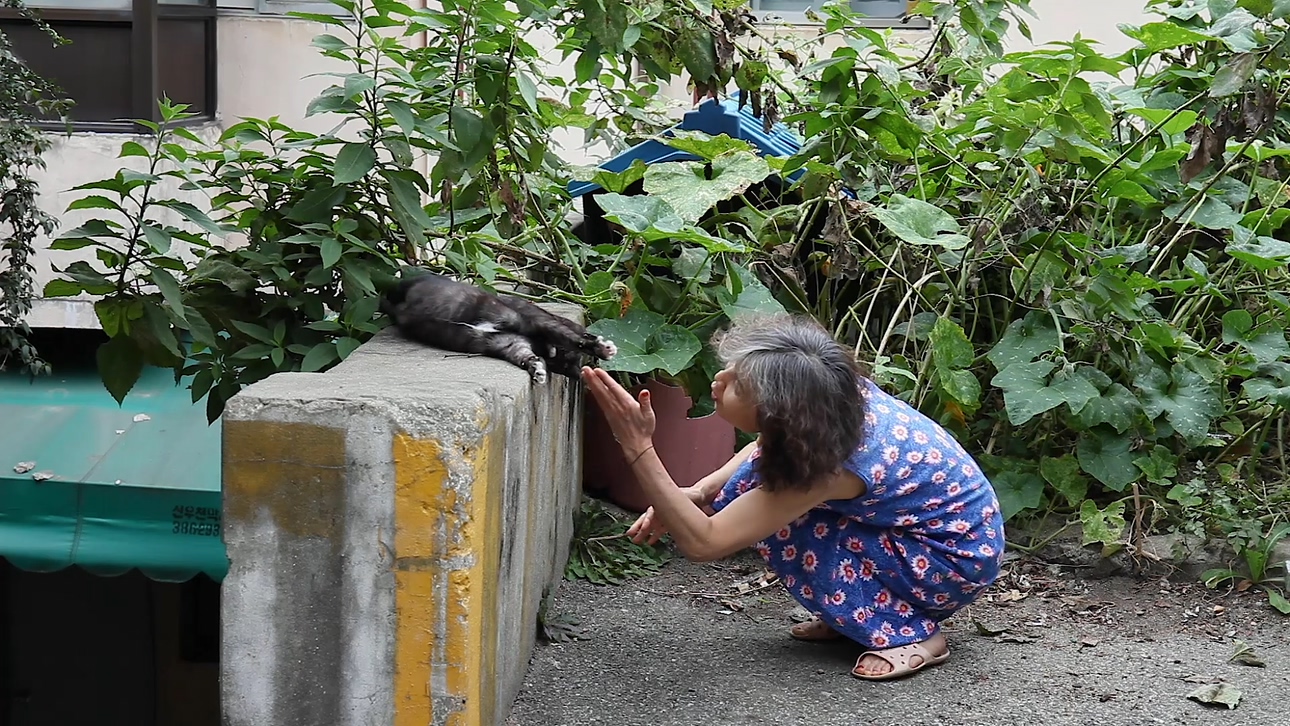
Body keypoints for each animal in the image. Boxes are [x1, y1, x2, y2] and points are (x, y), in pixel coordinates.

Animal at [378, 270, 617, 384]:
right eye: (564, 366)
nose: (575, 372)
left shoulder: (512, 338)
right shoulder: (510, 342)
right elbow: (527, 357)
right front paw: (537, 369)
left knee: (573, 335)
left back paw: (603, 349)